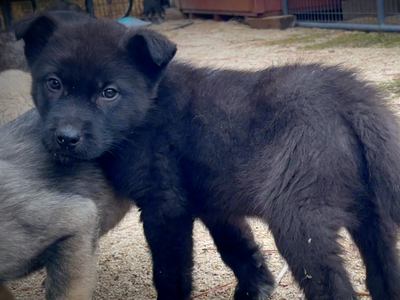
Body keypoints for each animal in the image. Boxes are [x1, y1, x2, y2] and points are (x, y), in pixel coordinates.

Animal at [15, 13, 400, 300]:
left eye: (109, 93)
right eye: (53, 83)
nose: (66, 139)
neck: (148, 112)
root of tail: (351, 95)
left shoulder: (165, 206)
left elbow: (169, 271)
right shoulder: (215, 204)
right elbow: (238, 248)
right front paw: (256, 289)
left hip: (300, 219)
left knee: (333, 287)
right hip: (372, 215)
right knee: (382, 275)